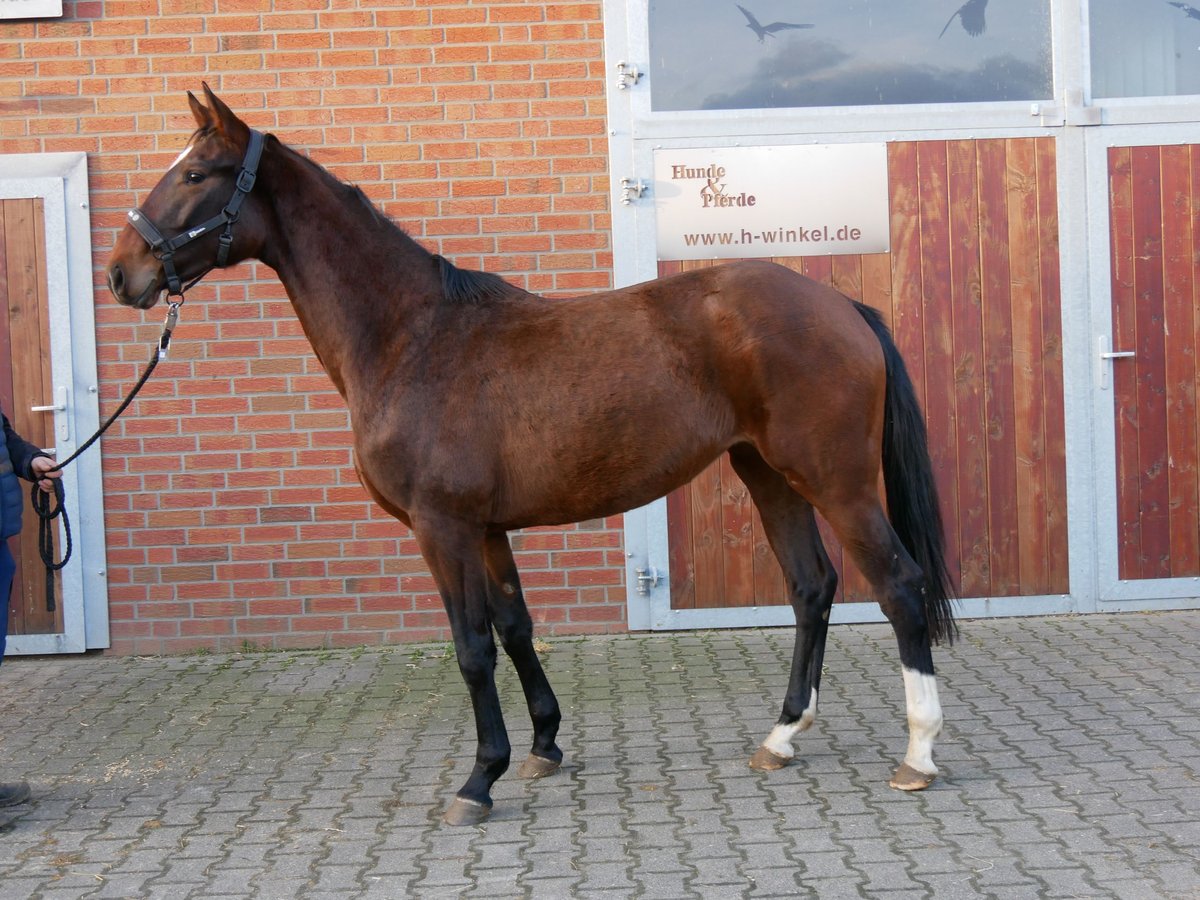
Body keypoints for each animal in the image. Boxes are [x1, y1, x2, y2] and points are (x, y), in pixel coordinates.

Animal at [108, 88, 960, 830]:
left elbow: (473, 648)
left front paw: (478, 778)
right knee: (811, 588)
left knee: (899, 584)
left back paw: (918, 754)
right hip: (768, 475)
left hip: (836, 481)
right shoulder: (486, 528)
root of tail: (842, 305)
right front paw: (545, 744)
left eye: (195, 173)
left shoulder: (442, 527)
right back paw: (781, 738)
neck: (411, 337)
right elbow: (516, 627)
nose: (123, 273)